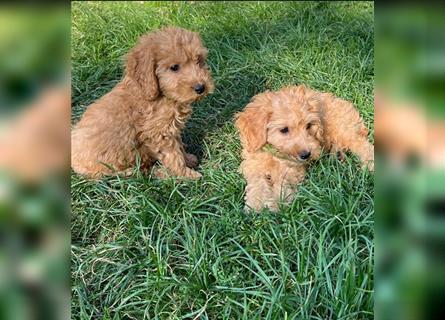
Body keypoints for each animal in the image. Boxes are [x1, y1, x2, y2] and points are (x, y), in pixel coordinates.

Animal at [71, 27, 213, 179]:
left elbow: (179, 146)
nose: (201, 88)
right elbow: (174, 155)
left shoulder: (170, 128)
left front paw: (189, 160)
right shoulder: (159, 133)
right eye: (174, 67)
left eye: (198, 61)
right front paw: (186, 175)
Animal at [234, 84, 372, 212]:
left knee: (362, 145)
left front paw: (278, 204)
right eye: (284, 129)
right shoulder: (253, 164)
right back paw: (338, 156)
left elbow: (282, 183)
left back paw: (369, 165)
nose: (306, 155)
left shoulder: (292, 169)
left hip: (343, 129)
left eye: (309, 125)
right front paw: (255, 205)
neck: (276, 154)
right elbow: (257, 183)